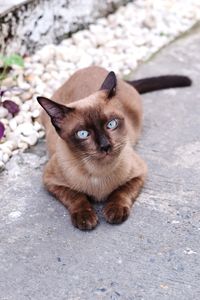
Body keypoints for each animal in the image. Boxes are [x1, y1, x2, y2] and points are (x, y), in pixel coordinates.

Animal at [36, 65, 191, 230]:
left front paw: (115, 211)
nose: (105, 146)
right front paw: (85, 218)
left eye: (111, 124)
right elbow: (76, 196)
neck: (98, 172)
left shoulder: (139, 173)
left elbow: (120, 191)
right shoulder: (51, 181)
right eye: (83, 134)